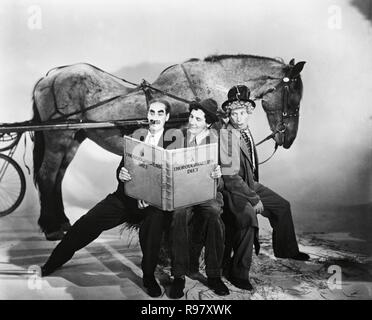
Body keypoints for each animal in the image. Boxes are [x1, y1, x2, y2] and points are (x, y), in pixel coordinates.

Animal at [31, 54, 306, 240]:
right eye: (294, 96)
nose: (289, 139)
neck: (204, 87)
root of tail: (47, 78)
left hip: (73, 138)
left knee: (57, 178)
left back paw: (61, 222)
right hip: (58, 138)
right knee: (47, 175)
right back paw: (52, 227)